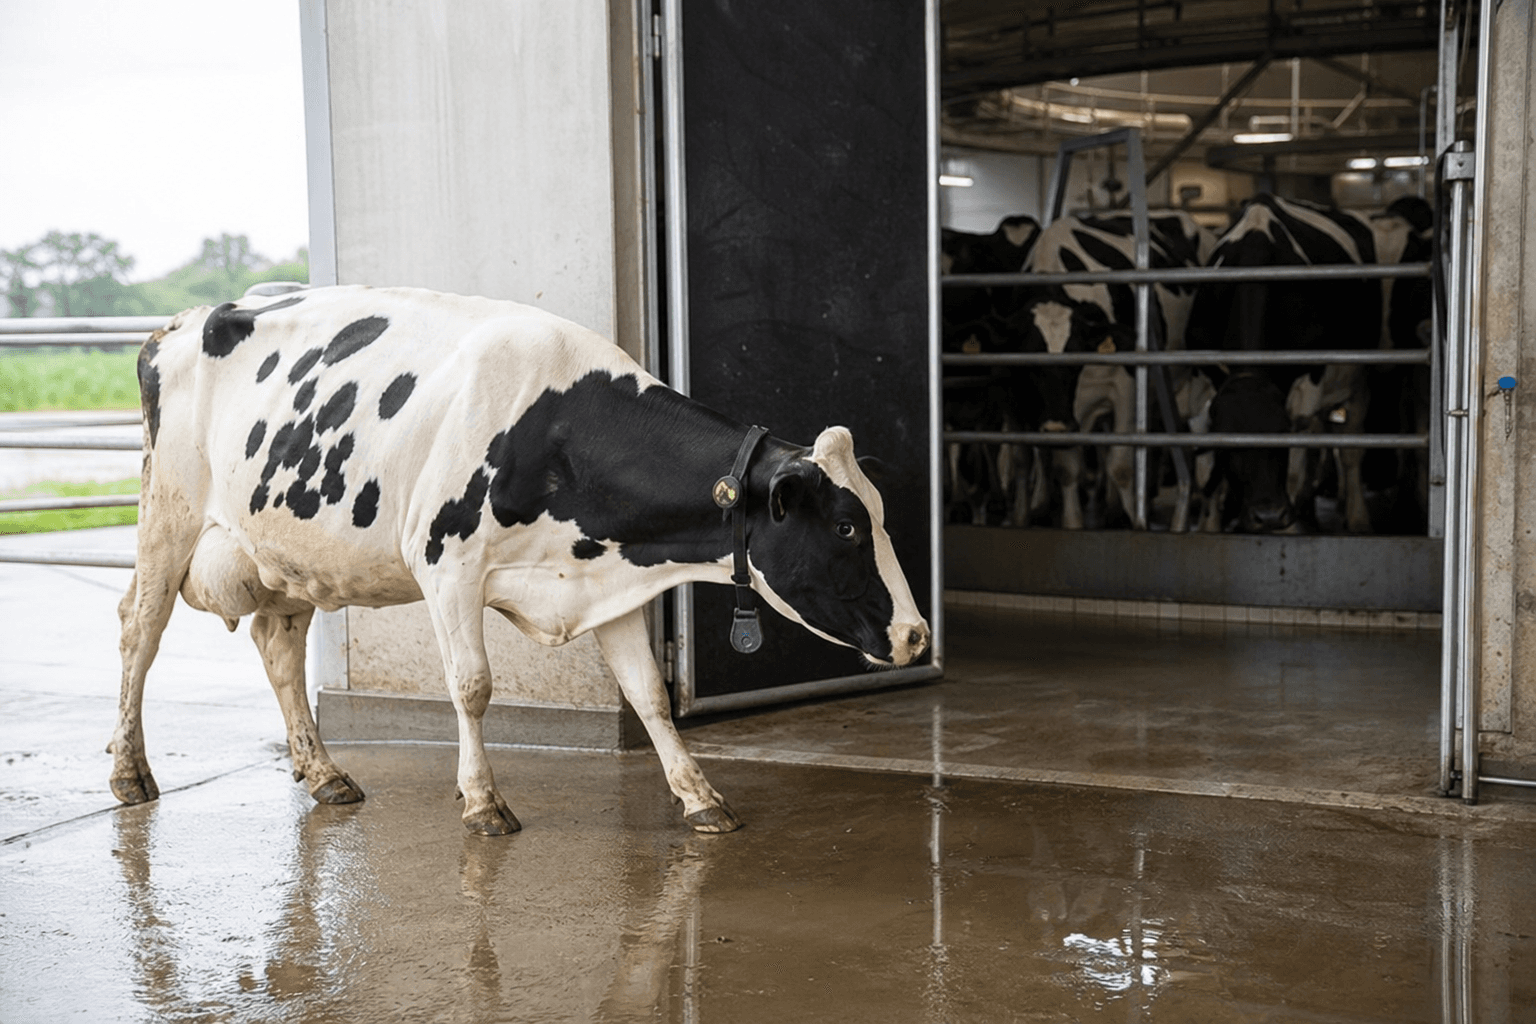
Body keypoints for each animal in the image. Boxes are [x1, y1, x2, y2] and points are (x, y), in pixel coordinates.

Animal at [110, 285, 930, 836]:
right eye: (848, 527)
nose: (917, 636)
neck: (560, 430)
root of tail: (184, 321)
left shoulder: (610, 577)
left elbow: (648, 695)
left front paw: (701, 797)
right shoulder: (446, 567)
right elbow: (473, 687)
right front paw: (483, 802)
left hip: (287, 550)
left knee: (277, 647)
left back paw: (327, 774)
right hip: (167, 512)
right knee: (139, 630)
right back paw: (130, 772)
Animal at [1186, 193, 1434, 533]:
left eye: (1281, 440)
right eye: (1232, 447)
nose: (1267, 514)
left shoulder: (1308, 382)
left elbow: (1295, 469)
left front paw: (1288, 528)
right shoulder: (1202, 379)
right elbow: (1205, 473)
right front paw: (1209, 527)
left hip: (1358, 379)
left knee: (1351, 449)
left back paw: (1355, 516)